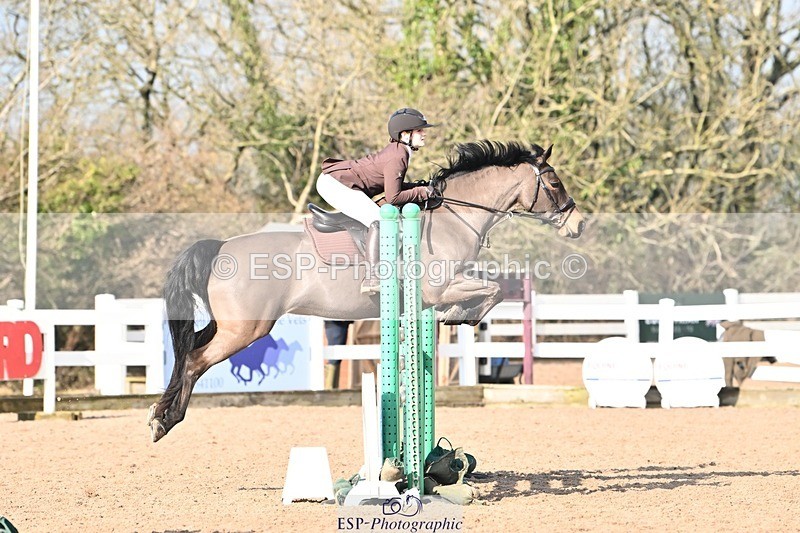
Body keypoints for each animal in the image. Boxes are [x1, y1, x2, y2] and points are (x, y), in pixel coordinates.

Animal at [148, 140, 585, 442]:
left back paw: (158, 413)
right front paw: (462, 315)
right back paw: (167, 422)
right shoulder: (438, 288)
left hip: (229, 323)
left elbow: (490, 289)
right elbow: (491, 290)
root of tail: (221, 247)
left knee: (188, 348)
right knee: (195, 360)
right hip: (246, 328)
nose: (578, 224)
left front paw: (462, 316)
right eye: (555, 182)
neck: (454, 217)